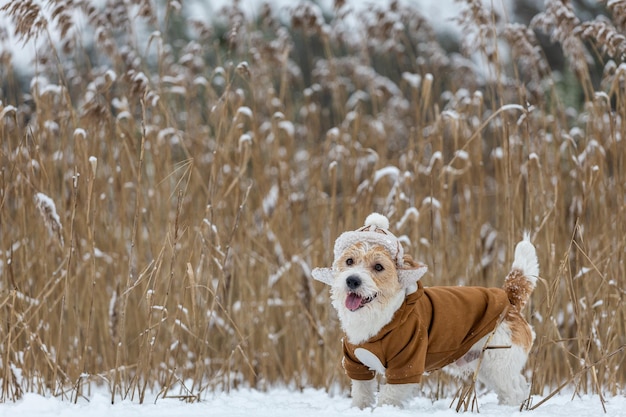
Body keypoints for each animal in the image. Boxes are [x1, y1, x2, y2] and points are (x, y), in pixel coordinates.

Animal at [312, 213, 536, 408]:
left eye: (378, 267)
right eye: (349, 261)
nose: (352, 280)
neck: (379, 318)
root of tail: (509, 299)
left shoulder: (407, 365)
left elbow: (388, 397)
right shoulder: (357, 364)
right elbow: (362, 394)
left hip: (499, 362)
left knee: (514, 390)